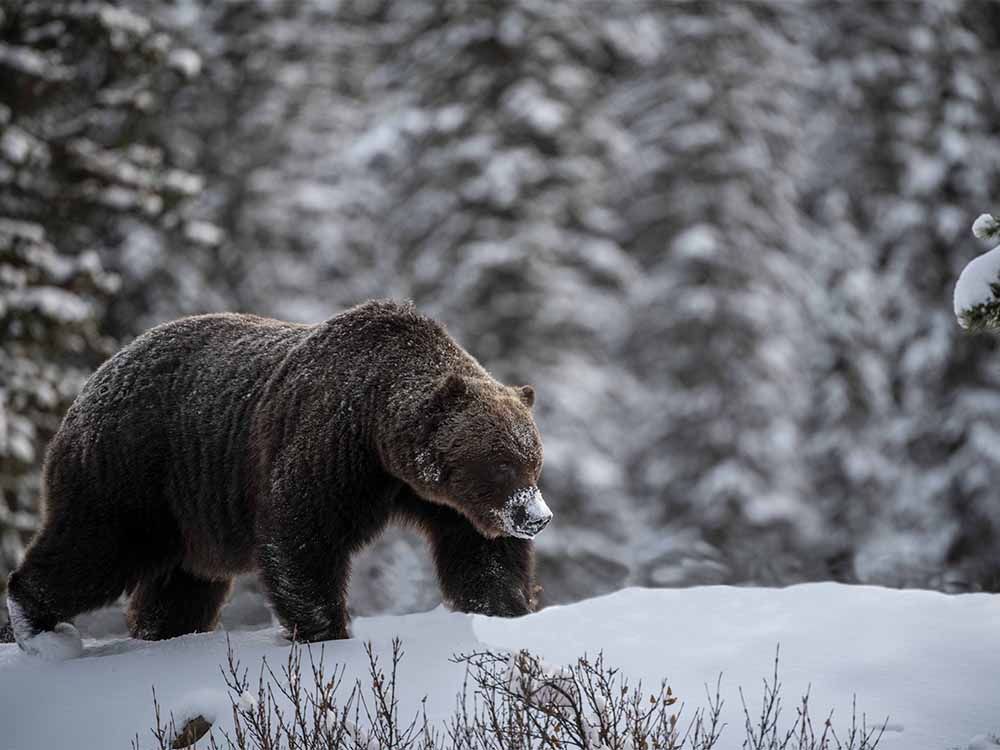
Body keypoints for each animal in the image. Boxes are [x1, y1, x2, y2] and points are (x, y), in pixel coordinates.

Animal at [3, 300, 552, 656]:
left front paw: (507, 611)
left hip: (188, 514)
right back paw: (35, 624)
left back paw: (163, 633)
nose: (537, 516)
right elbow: (301, 536)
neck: (376, 430)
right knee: (94, 547)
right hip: (132, 469)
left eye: (534, 460)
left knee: (180, 588)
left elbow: (480, 553)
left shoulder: (434, 497)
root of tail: (91, 381)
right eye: (502, 462)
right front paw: (327, 632)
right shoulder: (328, 446)